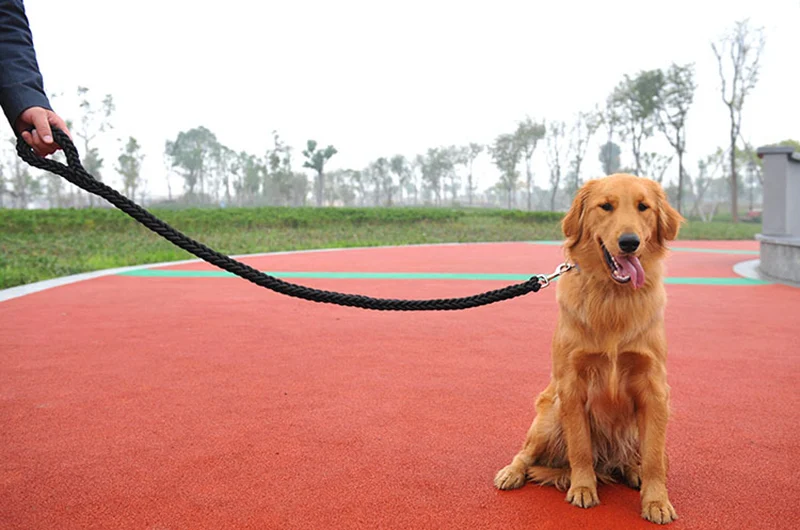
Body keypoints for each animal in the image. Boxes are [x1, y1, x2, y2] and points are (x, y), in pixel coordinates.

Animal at [496, 174, 684, 524]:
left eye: (643, 207)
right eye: (606, 206)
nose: (629, 242)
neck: (613, 296)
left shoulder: (654, 389)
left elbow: (655, 458)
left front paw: (656, 502)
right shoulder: (572, 385)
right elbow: (580, 447)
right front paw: (583, 488)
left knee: (636, 458)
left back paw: (632, 470)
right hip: (549, 415)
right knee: (526, 453)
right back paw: (512, 473)